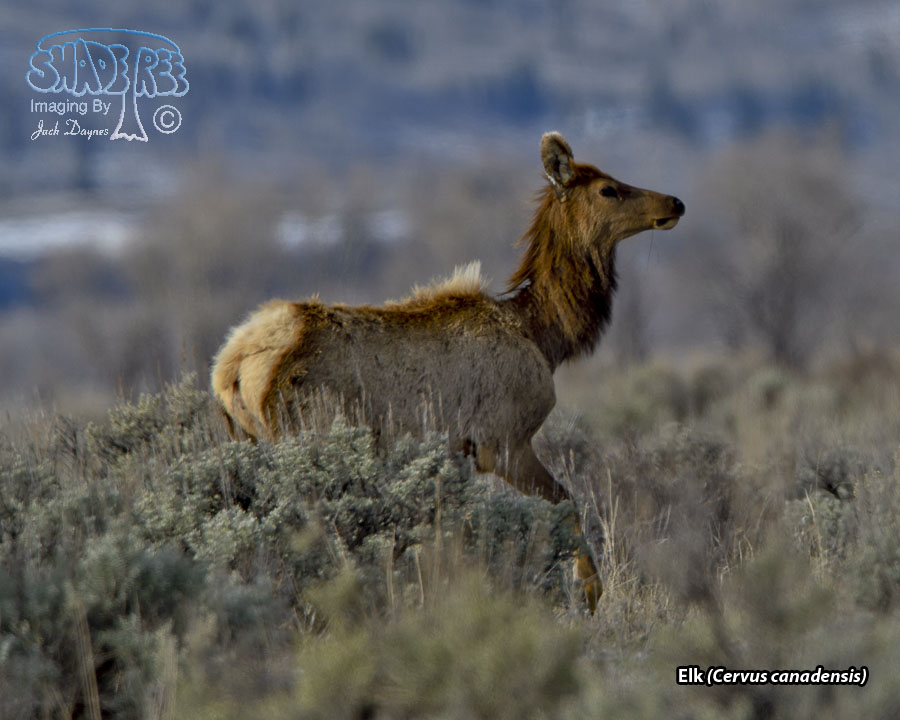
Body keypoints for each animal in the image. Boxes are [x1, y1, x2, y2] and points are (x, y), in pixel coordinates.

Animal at [211, 132, 685, 611]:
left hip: (248, 440)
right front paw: (589, 593)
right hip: (305, 435)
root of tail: (230, 367)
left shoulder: (460, 453)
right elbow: (565, 501)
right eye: (608, 189)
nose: (676, 202)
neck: (545, 335)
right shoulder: (502, 438)